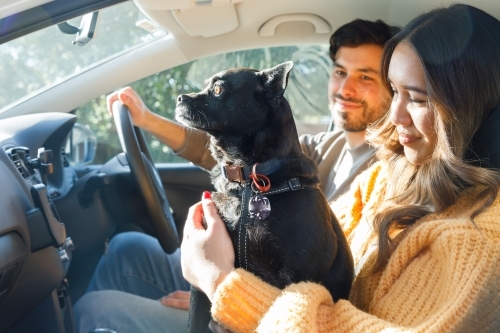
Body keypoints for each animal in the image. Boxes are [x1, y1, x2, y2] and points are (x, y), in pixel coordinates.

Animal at [178, 61, 354, 330]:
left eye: (218, 90)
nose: (180, 97)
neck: (246, 182)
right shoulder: (198, 288)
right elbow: (194, 322)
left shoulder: (299, 277)